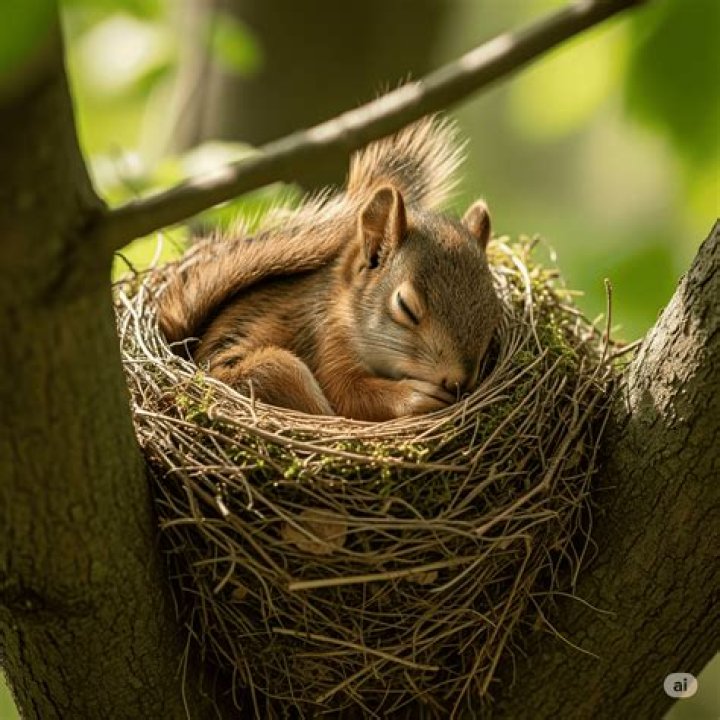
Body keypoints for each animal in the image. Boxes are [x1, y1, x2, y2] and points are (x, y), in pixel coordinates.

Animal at [157, 116, 501, 422]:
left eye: (492, 309)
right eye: (405, 306)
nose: (457, 381)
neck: (344, 311)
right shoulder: (325, 342)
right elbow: (349, 396)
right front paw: (415, 396)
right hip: (277, 370)